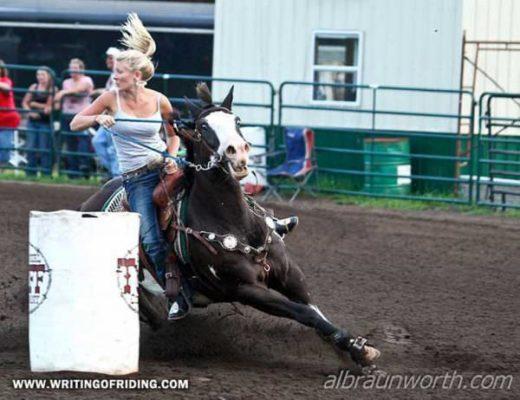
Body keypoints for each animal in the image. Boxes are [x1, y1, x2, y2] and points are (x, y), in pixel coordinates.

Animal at [79, 83, 380, 370]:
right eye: (203, 127)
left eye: (237, 120)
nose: (239, 152)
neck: (237, 224)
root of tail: (88, 204)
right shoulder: (245, 289)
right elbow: (303, 312)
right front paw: (352, 345)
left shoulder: (289, 274)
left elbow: (315, 312)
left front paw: (357, 350)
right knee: (151, 316)